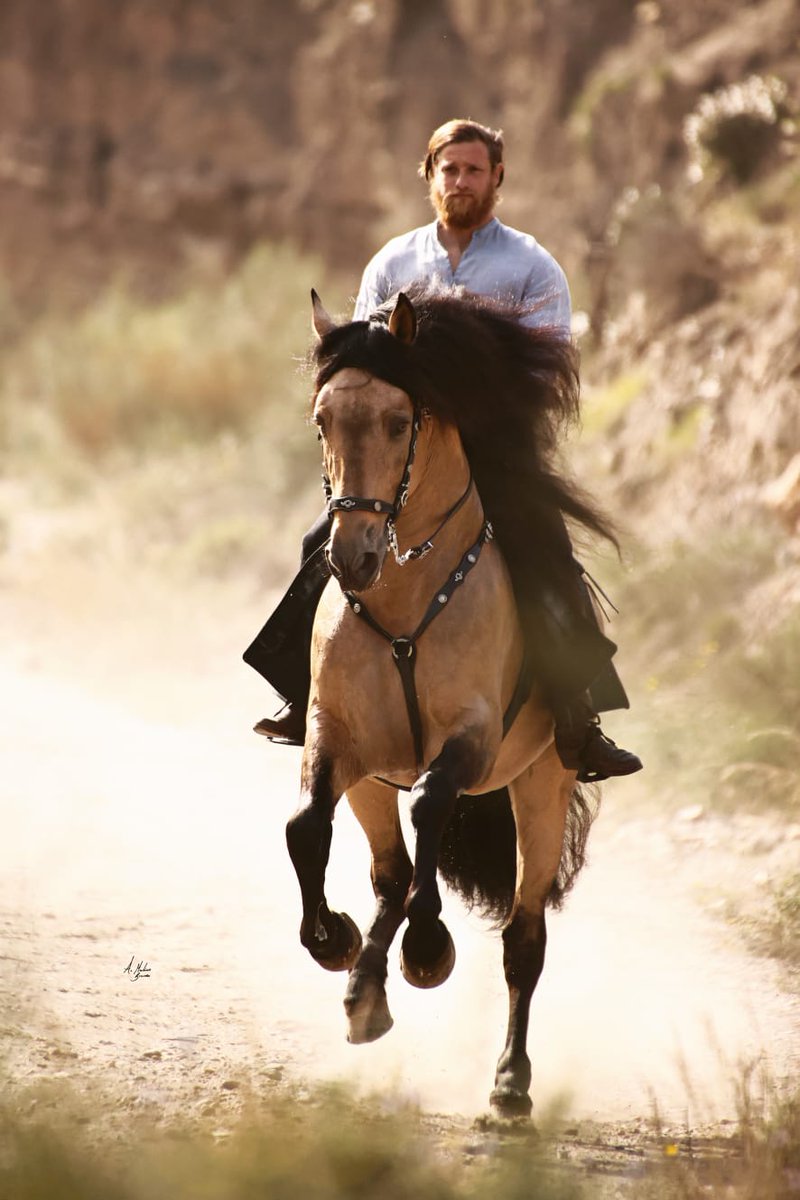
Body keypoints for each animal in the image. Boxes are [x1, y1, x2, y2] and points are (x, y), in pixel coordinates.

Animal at [283, 285, 608, 1117]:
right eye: (323, 420)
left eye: (400, 422)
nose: (353, 556)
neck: (404, 599)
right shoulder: (338, 739)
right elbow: (307, 827)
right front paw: (331, 941)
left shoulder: (472, 740)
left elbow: (431, 807)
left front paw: (429, 949)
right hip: (373, 781)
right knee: (390, 874)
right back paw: (365, 990)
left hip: (542, 781)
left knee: (523, 937)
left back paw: (511, 1082)